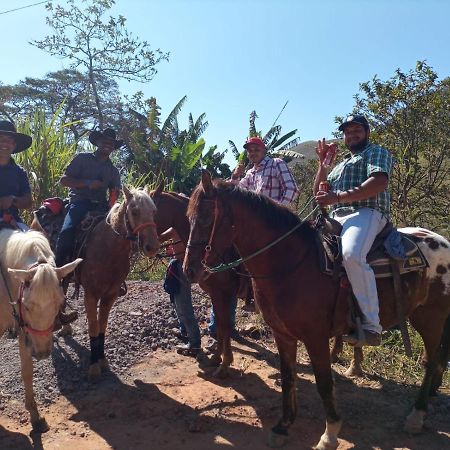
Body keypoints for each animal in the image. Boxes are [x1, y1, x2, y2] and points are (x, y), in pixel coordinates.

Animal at [0, 230, 81, 430]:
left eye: (60, 302)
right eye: (27, 306)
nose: (43, 353)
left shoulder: (24, 329)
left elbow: (27, 371)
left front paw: (35, 416)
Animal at [76, 186, 161, 380]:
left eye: (154, 211)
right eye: (135, 211)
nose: (152, 247)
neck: (108, 249)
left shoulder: (111, 295)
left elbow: (102, 325)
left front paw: (102, 360)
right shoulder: (90, 294)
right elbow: (93, 326)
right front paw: (93, 366)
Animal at [151, 185, 243, 376]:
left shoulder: (222, 292)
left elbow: (224, 325)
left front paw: (225, 363)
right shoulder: (216, 294)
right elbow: (221, 325)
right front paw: (217, 357)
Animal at [184, 171, 450, 450]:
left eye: (205, 218)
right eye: (188, 219)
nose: (189, 270)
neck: (290, 262)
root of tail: (442, 241)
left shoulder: (316, 337)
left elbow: (323, 383)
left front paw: (329, 434)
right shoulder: (282, 334)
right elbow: (288, 377)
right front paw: (283, 426)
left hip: (431, 317)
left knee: (431, 360)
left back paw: (417, 414)